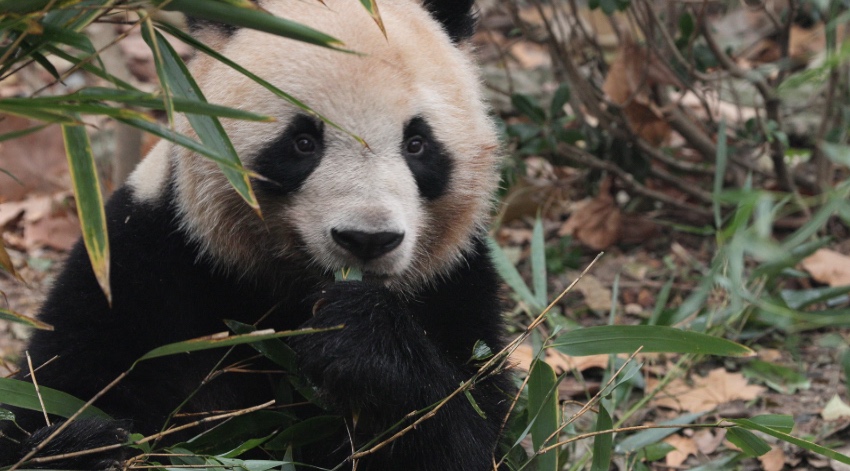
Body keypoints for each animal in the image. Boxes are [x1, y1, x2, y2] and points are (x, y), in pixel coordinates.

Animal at [0, 0, 511, 469]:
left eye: (417, 143)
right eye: (303, 142)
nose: (367, 239)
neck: (291, 288)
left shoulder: (453, 283)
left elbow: (470, 435)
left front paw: (360, 337)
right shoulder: (141, 261)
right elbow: (57, 390)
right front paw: (81, 445)